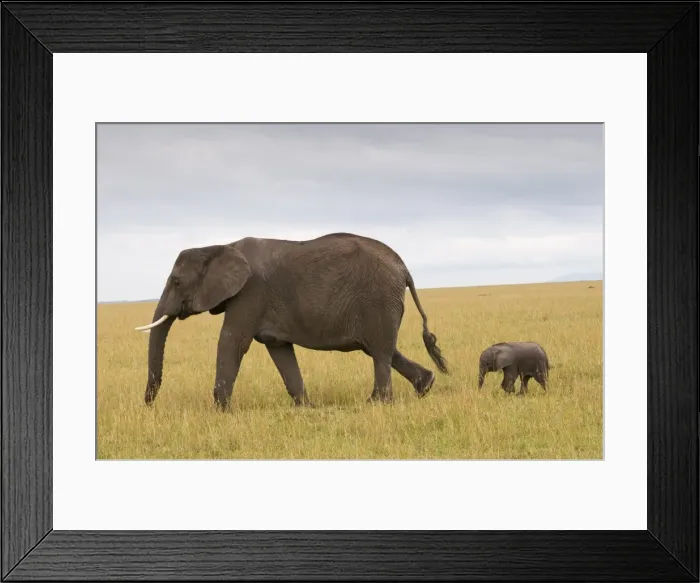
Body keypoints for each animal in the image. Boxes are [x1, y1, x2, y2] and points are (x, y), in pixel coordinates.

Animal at [135, 232, 449, 410]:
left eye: (176, 282)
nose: (148, 406)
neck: (219, 246)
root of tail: (404, 268)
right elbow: (280, 350)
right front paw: (305, 408)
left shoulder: (250, 293)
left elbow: (232, 341)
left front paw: (220, 411)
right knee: (381, 348)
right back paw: (426, 385)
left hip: (378, 298)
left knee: (380, 351)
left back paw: (376, 403)